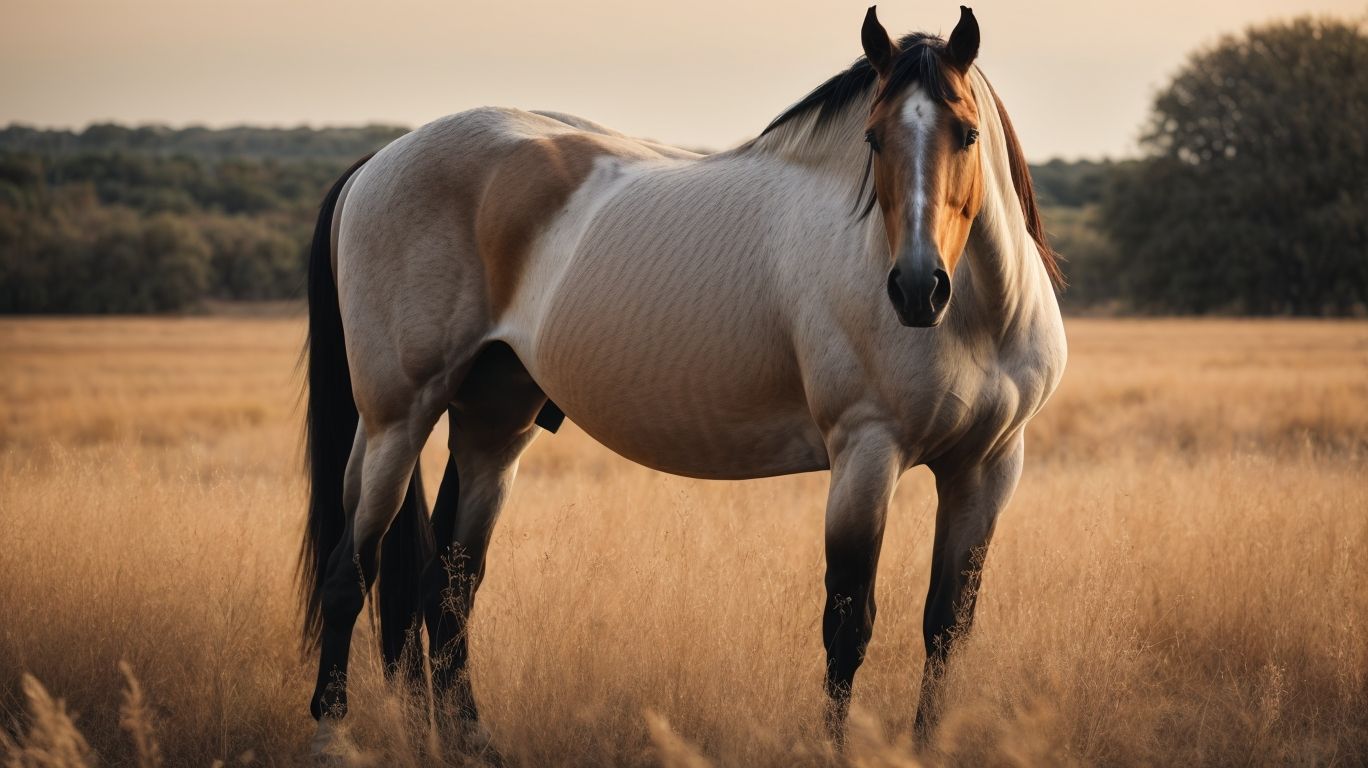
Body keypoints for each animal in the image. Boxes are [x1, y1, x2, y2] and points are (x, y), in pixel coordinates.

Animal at [298, 5, 1066, 758]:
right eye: (873, 139)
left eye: (967, 134)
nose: (915, 288)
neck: (974, 319)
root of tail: (381, 160)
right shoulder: (866, 456)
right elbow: (848, 627)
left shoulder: (986, 469)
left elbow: (947, 626)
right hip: (395, 424)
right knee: (349, 573)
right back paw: (332, 734)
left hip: (493, 425)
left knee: (450, 588)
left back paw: (470, 743)